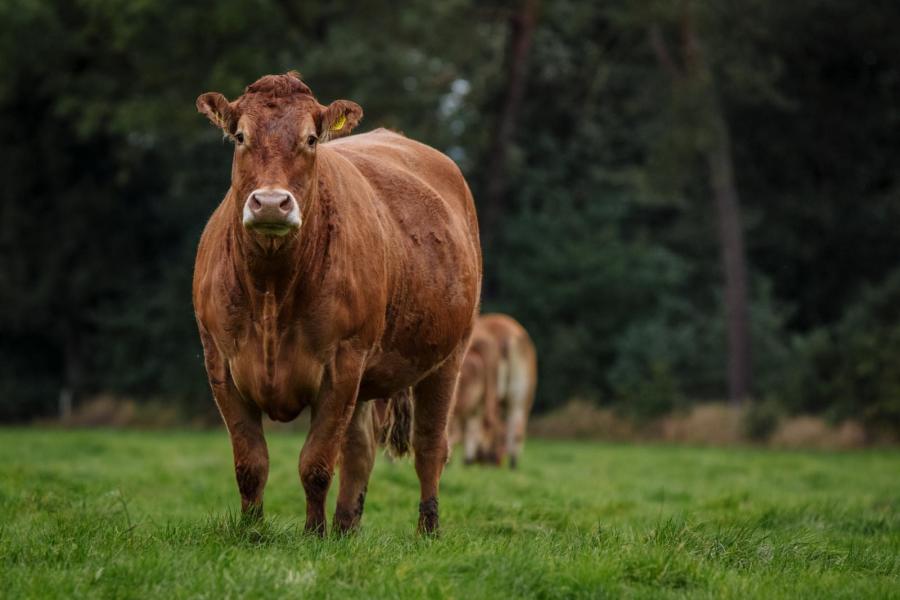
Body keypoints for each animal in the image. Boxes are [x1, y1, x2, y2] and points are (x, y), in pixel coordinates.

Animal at [192, 72, 482, 535]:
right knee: (360, 450)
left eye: (311, 139)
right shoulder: (219, 362)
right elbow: (250, 464)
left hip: (448, 356)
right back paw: (347, 529)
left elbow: (316, 464)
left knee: (430, 447)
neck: (272, 288)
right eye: (240, 136)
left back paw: (427, 530)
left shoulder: (342, 364)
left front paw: (314, 533)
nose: (270, 203)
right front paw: (253, 531)